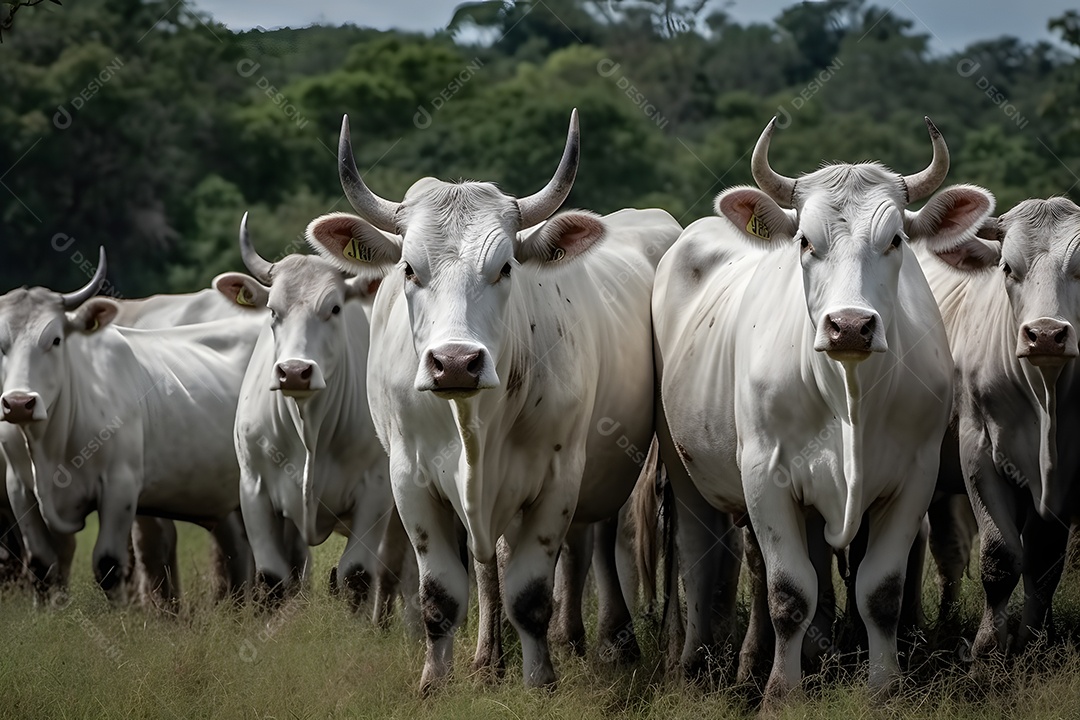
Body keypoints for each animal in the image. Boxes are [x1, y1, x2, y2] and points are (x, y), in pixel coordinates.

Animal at [0, 252, 261, 604]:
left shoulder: (119, 487)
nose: (18, 403)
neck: (48, 443)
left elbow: (108, 566)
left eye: (55, 339)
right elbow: (42, 567)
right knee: (237, 551)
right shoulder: (20, 491)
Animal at [212, 212, 410, 621]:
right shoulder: (253, 489)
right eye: (273, 311)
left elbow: (355, 575)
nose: (294, 371)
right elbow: (273, 579)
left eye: (334, 308)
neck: (310, 428)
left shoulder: (375, 493)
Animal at [306, 110, 673, 690]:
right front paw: (437, 682)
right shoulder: (410, 480)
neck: (475, 423)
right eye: (409, 269)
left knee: (595, 543)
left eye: (505, 267)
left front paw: (540, 680)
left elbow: (531, 595)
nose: (455, 361)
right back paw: (492, 656)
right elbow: (441, 594)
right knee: (498, 561)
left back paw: (606, 638)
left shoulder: (558, 477)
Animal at [652, 118, 989, 699]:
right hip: (684, 466)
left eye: (895, 239)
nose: (850, 325)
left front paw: (883, 687)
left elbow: (881, 591)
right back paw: (697, 665)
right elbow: (790, 593)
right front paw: (781, 693)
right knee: (700, 559)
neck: (847, 394)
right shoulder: (764, 473)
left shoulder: (914, 479)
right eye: (807, 241)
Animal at [915, 197, 1080, 660]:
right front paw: (987, 650)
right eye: (1007, 267)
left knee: (948, 552)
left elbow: (1045, 560)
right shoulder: (979, 454)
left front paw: (1034, 643)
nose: (1046, 334)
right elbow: (1000, 557)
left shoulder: (1063, 473)